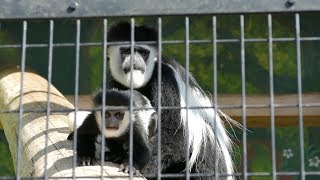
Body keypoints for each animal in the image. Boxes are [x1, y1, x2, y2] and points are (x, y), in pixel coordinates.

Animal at [106, 21, 234, 179]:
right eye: (126, 51)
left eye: (142, 52)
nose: (134, 62)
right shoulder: (114, 85)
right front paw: (117, 153)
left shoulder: (166, 79)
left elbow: (173, 132)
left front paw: (134, 165)